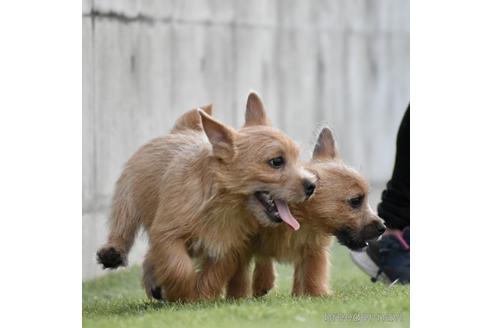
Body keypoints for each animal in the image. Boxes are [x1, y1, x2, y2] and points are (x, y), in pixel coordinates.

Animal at [96, 92, 318, 302]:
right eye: (276, 161)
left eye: (297, 158)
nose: (312, 185)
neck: (222, 203)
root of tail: (181, 130)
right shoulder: (168, 234)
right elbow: (179, 267)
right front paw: (182, 293)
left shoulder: (227, 247)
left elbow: (213, 274)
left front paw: (201, 296)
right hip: (127, 196)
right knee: (123, 226)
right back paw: (114, 253)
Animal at [228, 126, 388, 300]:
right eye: (356, 200)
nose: (383, 227)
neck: (300, 219)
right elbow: (245, 269)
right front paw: (240, 296)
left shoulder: (314, 252)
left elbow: (312, 278)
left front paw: (314, 295)